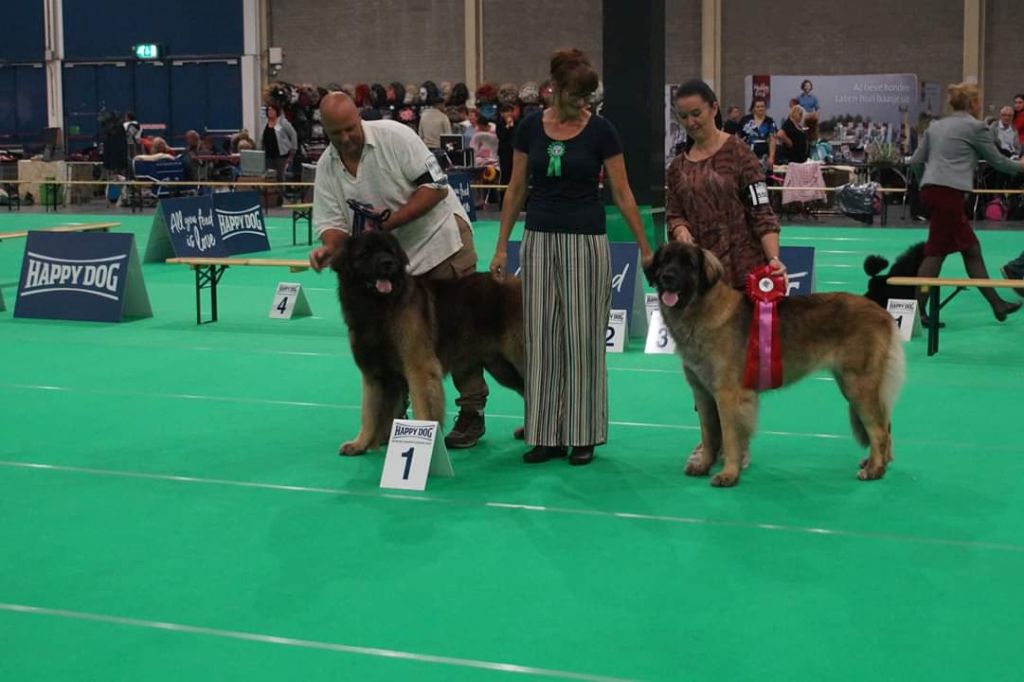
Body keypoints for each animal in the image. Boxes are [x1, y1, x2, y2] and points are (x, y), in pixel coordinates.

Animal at [331, 231, 524, 454]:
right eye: (365, 252)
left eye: (390, 251)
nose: (388, 263)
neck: (381, 307)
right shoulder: (374, 374)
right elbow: (369, 412)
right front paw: (360, 443)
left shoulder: (420, 368)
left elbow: (423, 408)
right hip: (503, 368)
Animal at [647, 241, 905, 485]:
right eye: (665, 260)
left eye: (688, 263)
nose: (667, 277)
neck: (700, 307)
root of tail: (881, 311)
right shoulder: (703, 393)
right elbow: (709, 435)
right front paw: (703, 465)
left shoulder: (727, 394)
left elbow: (730, 437)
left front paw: (729, 474)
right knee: (885, 425)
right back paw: (875, 463)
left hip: (858, 385)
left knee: (879, 431)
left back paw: (874, 470)